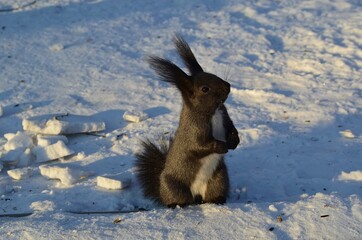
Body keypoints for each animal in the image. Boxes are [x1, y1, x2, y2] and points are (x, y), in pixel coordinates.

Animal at [134, 35, 239, 208]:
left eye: (212, 74)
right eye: (205, 89)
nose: (228, 86)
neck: (213, 113)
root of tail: (196, 195)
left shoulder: (224, 116)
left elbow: (231, 128)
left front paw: (234, 141)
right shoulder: (193, 129)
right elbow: (199, 145)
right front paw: (222, 146)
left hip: (219, 179)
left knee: (213, 193)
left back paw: (217, 200)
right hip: (174, 186)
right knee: (178, 198)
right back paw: (177, 204)